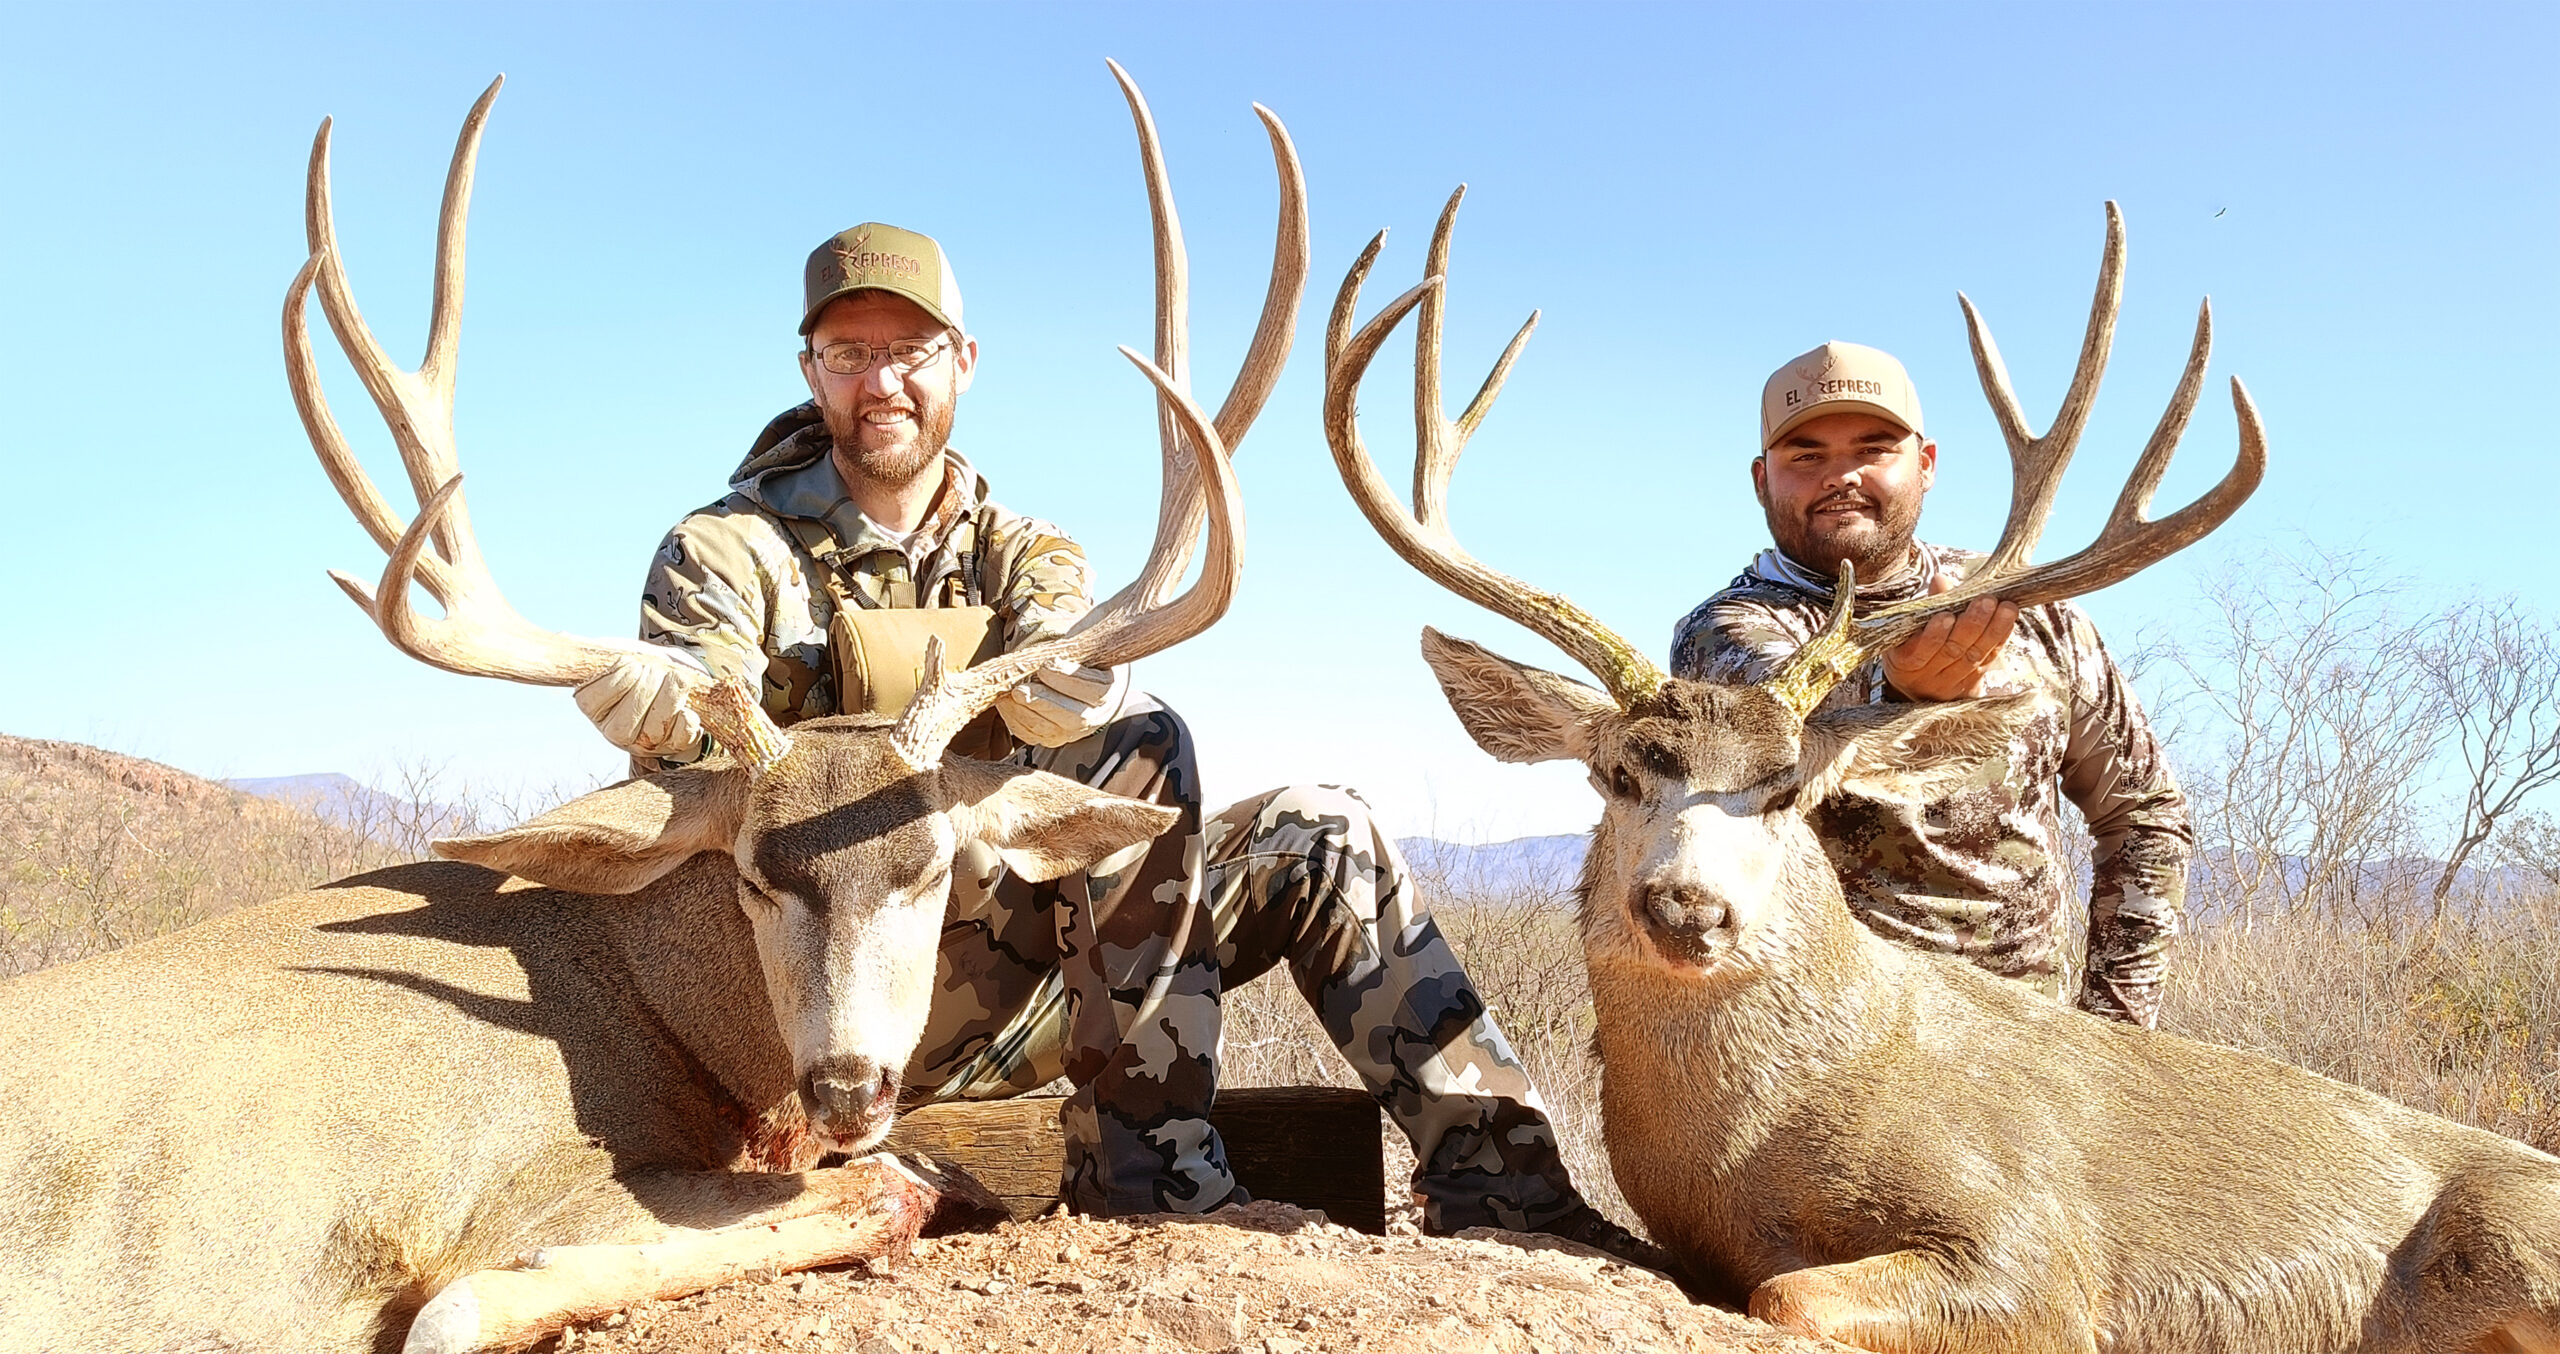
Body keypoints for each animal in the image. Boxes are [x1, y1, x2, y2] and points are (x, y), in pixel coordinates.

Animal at [0, 63, 1305, 1354]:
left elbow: (895, 1177)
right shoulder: (517, 1186)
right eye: (753, 874)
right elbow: (881, 1188)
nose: (848, 1084)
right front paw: (469, 1304)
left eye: (939, 869)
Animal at [1318, 188, 2560, 1353]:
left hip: (2515, 1229)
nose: (1684, 905)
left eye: (1787, 788)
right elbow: (1766, 1282)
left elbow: (1787, 1292)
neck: (1761, 1136)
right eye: (1618, 774)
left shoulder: (2034, 1245)